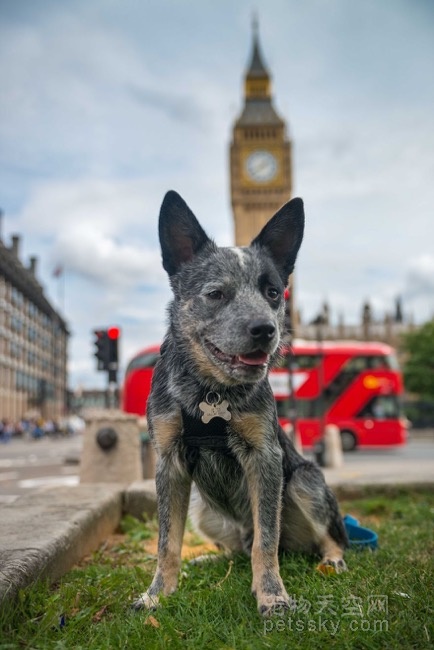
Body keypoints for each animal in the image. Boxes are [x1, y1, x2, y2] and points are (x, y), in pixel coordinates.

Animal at [134, 190, 348, 616]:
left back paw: (332, 559)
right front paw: (157, 593)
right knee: (234, 549)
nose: (265, 330)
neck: (210, 392)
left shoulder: (265, 457)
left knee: (316, 538)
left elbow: (266, 541)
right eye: (216, 293)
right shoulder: (168, 462)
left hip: (304, 480)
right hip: (201, 509)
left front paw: (272, 595)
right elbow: (167, 542)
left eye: (273, 292)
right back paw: (209, 558)